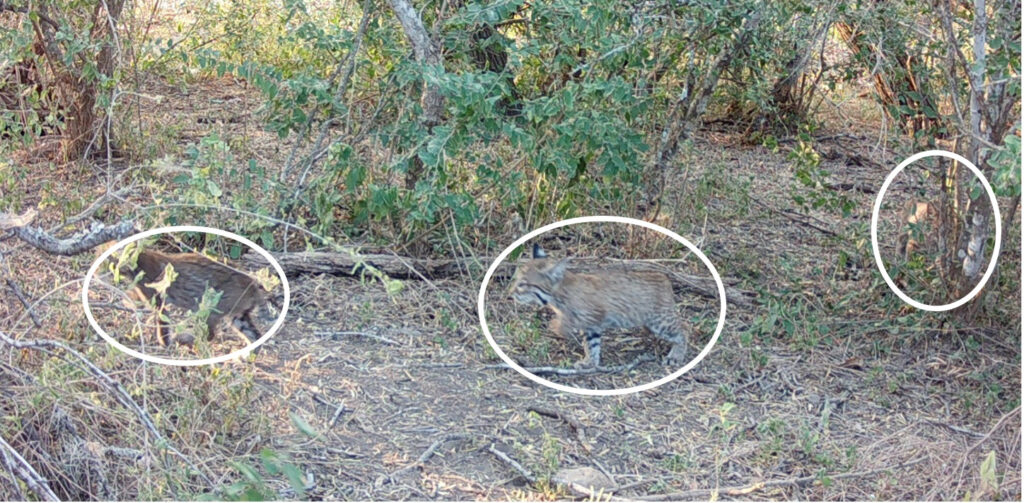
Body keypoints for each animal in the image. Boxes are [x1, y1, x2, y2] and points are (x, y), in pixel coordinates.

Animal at [119, 247, 270, 346]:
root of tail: (253, 283)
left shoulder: (157, 299)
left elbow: (162, 323)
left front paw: (164, 343)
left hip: (210, 307)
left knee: (209, 335)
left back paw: (184, 339)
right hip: (237, 314)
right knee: (255, 335)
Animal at [509, 244, 688, 368]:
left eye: (523, 284)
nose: (510, 293)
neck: (557, 295)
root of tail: (663, 277)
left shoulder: (595, 314)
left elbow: (572, 322)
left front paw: (558, 326)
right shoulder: (592, 325)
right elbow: (591, 345)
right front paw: (590, 363)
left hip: (660, 322)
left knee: (684, 330)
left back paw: (675, 356)